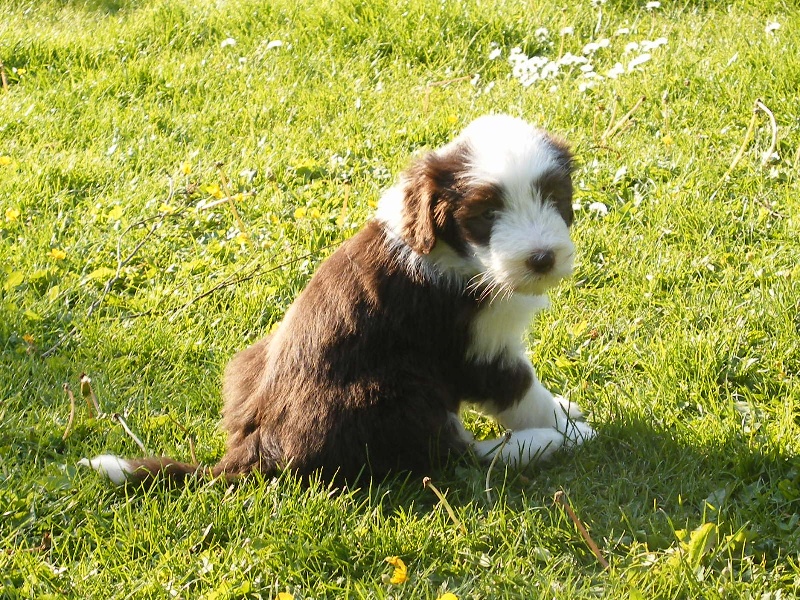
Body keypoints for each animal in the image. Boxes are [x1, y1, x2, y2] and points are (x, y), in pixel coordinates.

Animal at [81, 115, 592, 486]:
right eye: (486, 214)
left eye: (553, 197)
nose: (542, 259)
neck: (455, 252)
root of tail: (256, 449)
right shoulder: (476, 351)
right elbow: (522, 391)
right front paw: (568, 425)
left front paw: (565, 409)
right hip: (399, 389)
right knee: (453, 457)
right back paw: (544, 444)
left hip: (254, 359)